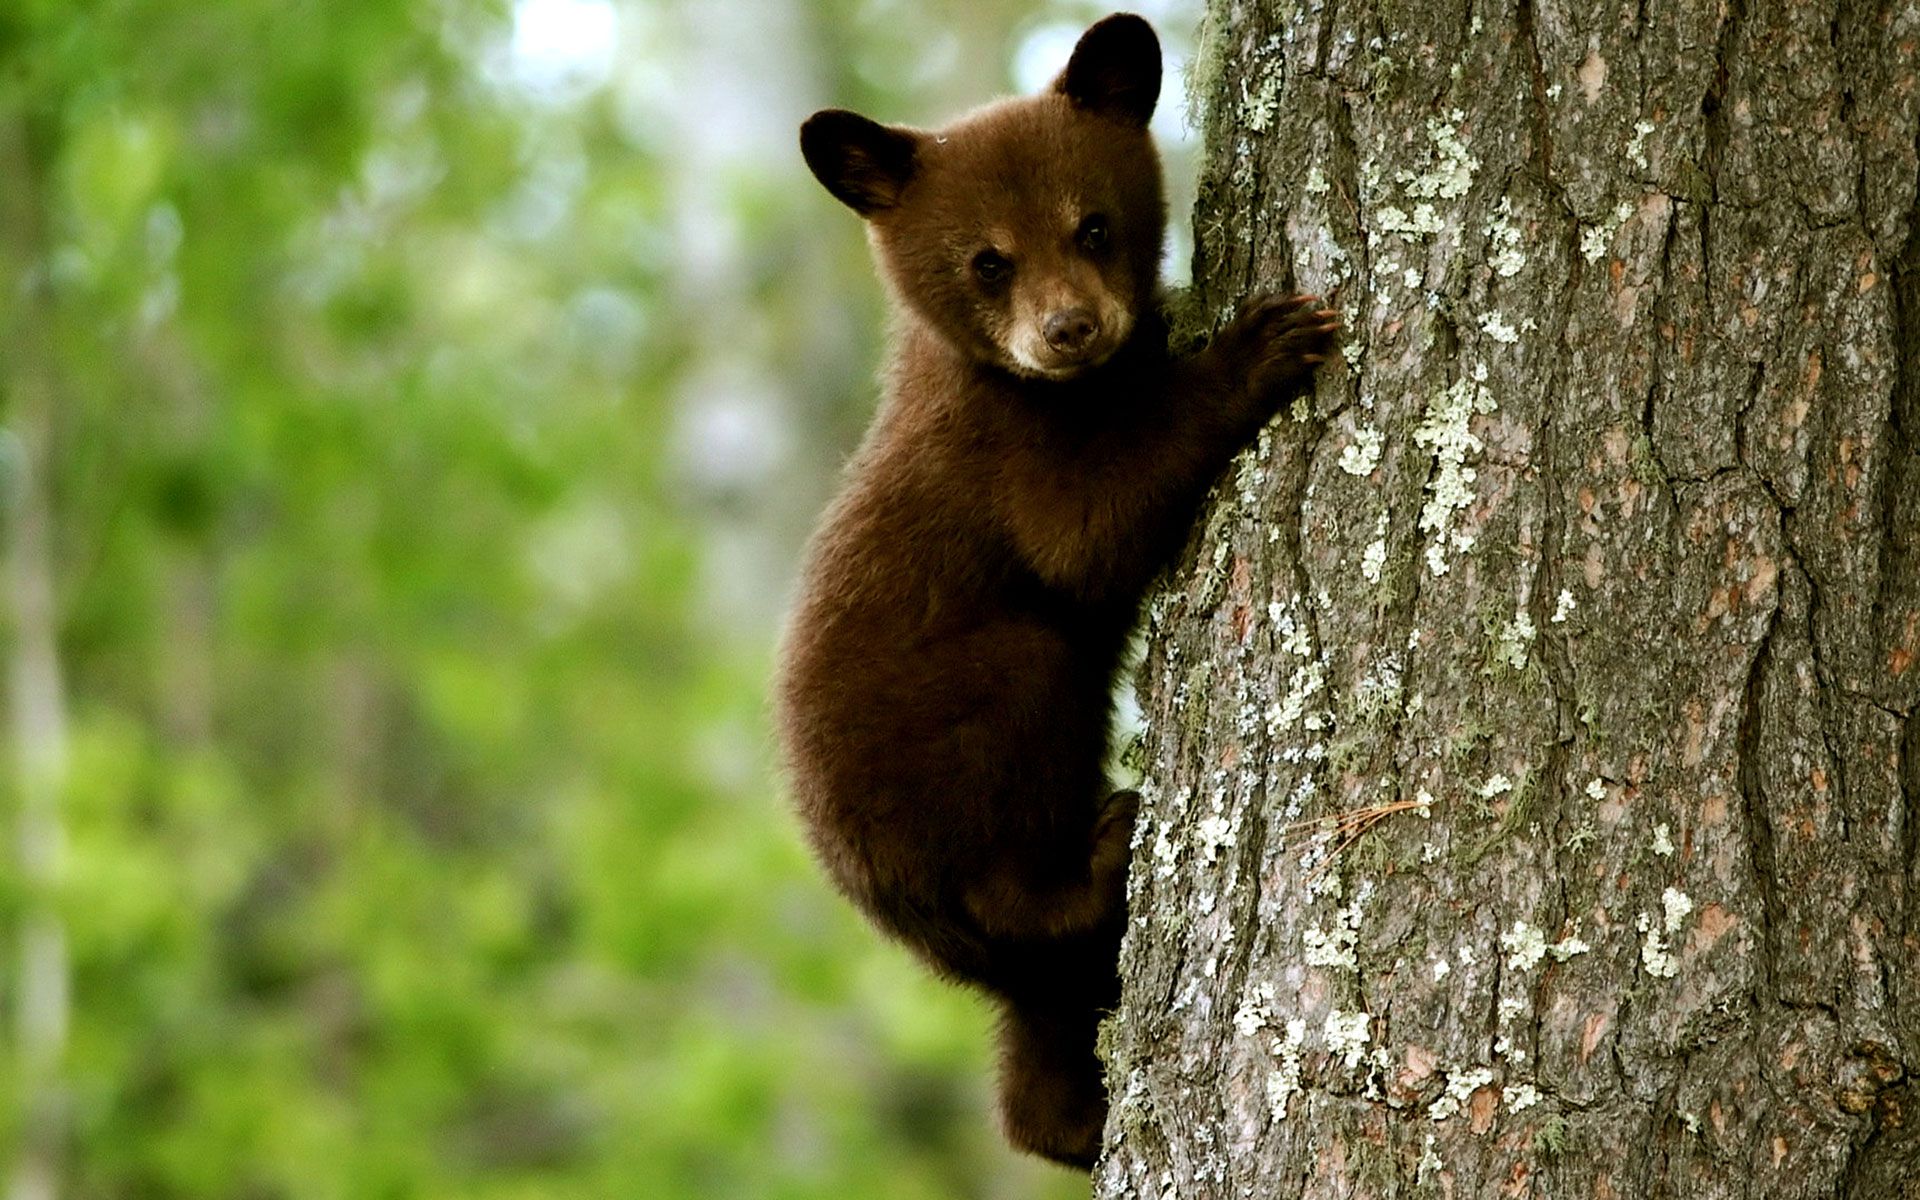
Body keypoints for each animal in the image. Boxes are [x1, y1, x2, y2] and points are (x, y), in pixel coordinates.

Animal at [775, 12, 1338, 1170]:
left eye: (1093, 226)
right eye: (988, 260)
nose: (1070, 329)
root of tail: (884, 904)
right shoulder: (1001, 452)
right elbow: (1088, 534)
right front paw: (1259, 345)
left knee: (1037, 1039)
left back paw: (1070, 1122)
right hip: (963, 738)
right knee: (1019, 819)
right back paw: (1104, 848)